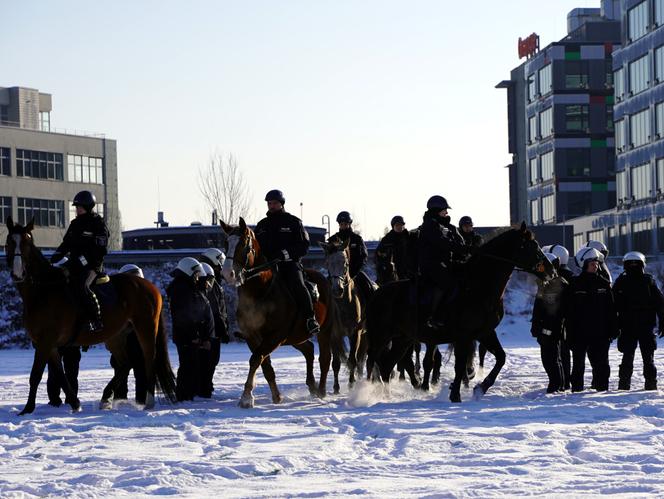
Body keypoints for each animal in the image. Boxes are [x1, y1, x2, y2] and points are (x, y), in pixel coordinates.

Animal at [4, 217, 176, 416]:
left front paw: (27, 408)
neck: (43, 291)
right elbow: (61, 375)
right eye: (9, 242)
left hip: (145, 329)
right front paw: (75, 403)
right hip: (116, 336)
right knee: (125, 364)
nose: (18, 273)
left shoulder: (45, 342)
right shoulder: (50, 345)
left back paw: (148, 402)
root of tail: (150, 286)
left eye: (27, 242)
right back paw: (106, 397)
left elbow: (36, 375)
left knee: (148, 359)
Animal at [220, 217, 344, 408]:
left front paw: (247, 396)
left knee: (324, 358)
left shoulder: (275, 336)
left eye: (244, 243)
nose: (228, 273)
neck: (260, 292)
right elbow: (265, 364)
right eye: (226, 243)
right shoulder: (252, 337)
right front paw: (276, 396)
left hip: (324, 330)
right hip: (295, 336)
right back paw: (312, 385)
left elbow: (256, 359)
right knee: (309, 349)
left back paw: (321, 390)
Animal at [322, 236, 374, 392]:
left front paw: (351, 384)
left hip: (366, 334)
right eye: (328, 263)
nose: (337, 289)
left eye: (345, 264)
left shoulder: (355, 333)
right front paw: (336, 388)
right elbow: (336, 363)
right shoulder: (334, 334)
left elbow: (352, 360)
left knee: (364, 359)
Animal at [366, 225, 552, 404]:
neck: (477, 286)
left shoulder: (484, 333)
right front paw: (455, 395)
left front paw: (480, 388)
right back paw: (365, 392)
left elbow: (501, 358)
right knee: (372, 362)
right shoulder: (464, 336)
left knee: (387, 366)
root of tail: (376, 293)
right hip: (380, 336)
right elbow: (460, 365)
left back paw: (386, 397)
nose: (550, 269)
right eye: (532, 246)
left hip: (403, 339)